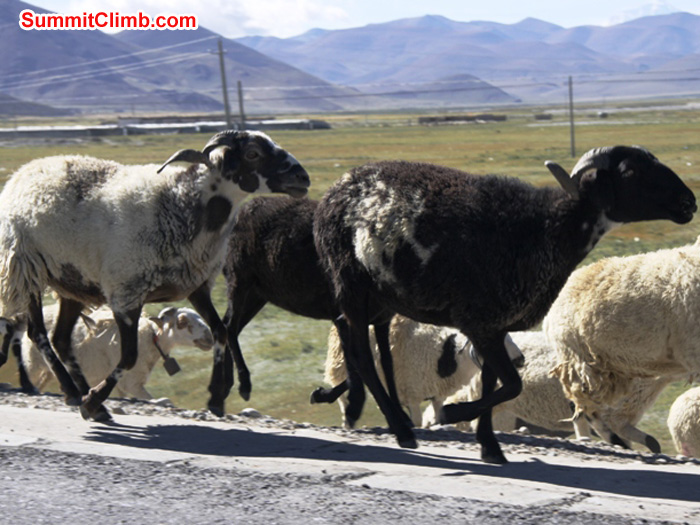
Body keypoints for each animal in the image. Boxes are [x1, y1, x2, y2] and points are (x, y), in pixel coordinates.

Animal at [21, 305, 214, 399]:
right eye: (182, 322)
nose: (209, 338)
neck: (150, 340)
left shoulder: (122, 384)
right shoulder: (132, 384)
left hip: (49, 372)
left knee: (43, 382)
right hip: (33, 363)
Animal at [221, 195, 400, 425]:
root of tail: (241, 210)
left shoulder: (382, 320)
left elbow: (386, 363)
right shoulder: (345, 317)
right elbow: (358, 363)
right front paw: (344, 403)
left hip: (258, 293)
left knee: (228, 325)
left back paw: (225, 385)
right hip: (240, 277)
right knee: (230, 326)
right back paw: (243, 384)